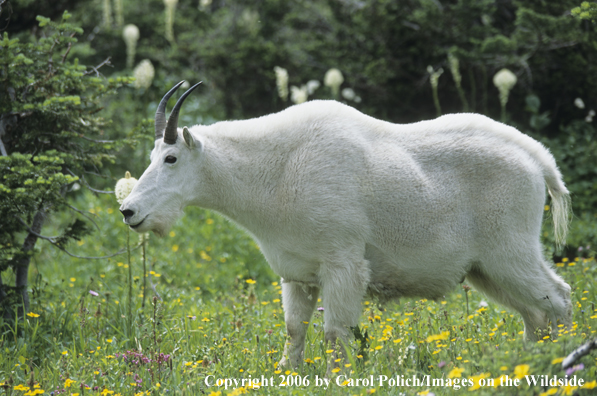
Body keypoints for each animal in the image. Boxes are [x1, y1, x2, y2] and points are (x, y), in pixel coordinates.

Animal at [121, 82, 572, 372]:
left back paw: (564, 359)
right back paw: (529, 361)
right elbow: (294, 329)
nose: (129, 210)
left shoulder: (342, 262)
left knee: (558, 297)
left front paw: (337, 377)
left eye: (171, 158)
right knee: (534, 313)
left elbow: (335, 331)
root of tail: (538, 160)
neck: (274, 171)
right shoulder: (297, 272)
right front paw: (288, 374)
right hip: (485, 269)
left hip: (509, 249)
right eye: (153, 156)